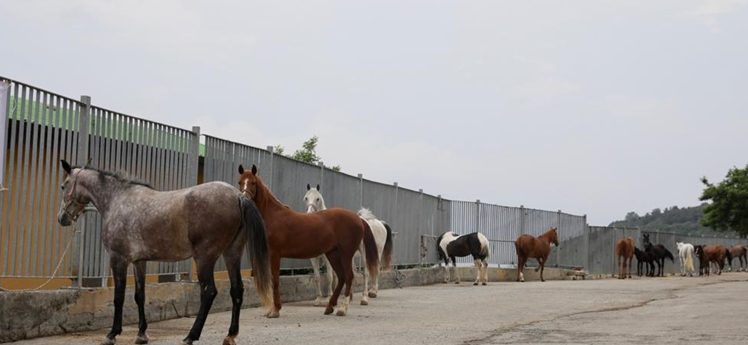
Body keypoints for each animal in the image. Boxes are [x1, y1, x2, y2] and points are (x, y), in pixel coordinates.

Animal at [240, 164, 376, 318]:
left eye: (253, 183)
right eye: (240, 182)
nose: (244, 199)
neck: (274, 216)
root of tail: (358, 218)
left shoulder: (275, 254)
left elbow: (275, 280)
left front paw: (275, 310)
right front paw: (272, 310)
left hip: (346, 254)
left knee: (349, 276)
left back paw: (342, 308)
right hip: (333, 254)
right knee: (341, 277)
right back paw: (329, 307)